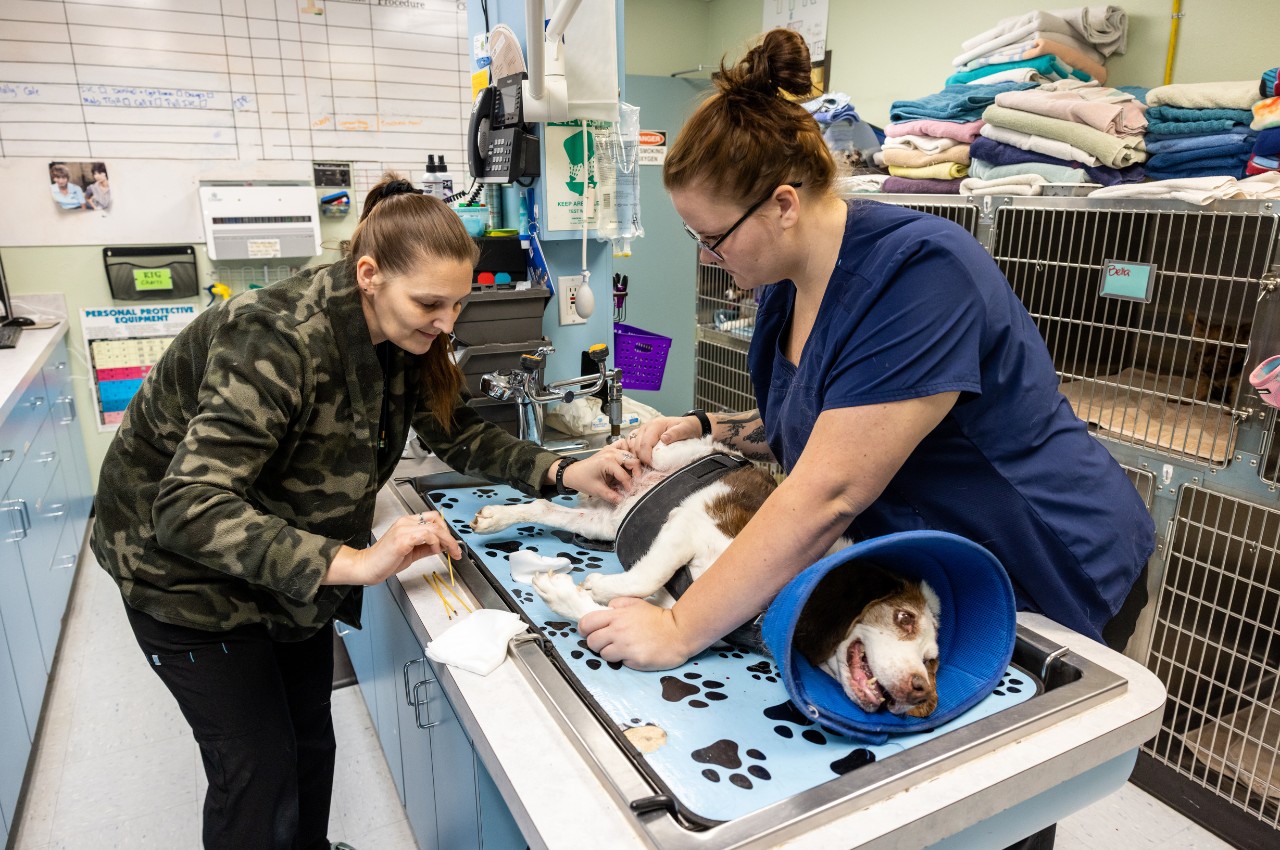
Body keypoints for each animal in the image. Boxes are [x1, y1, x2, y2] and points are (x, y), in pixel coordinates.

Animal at [471, 435, 942, 711]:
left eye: (932, 660)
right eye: (903, 618)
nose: (922, 689)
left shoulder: (674, 601)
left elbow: (613, 608)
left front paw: (569, 590)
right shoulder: (690, 527)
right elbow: (644, 576)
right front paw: (598, 584)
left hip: (605, 522)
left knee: (545, 506)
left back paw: (496, 518)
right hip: (679, 454)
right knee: (647, 447)